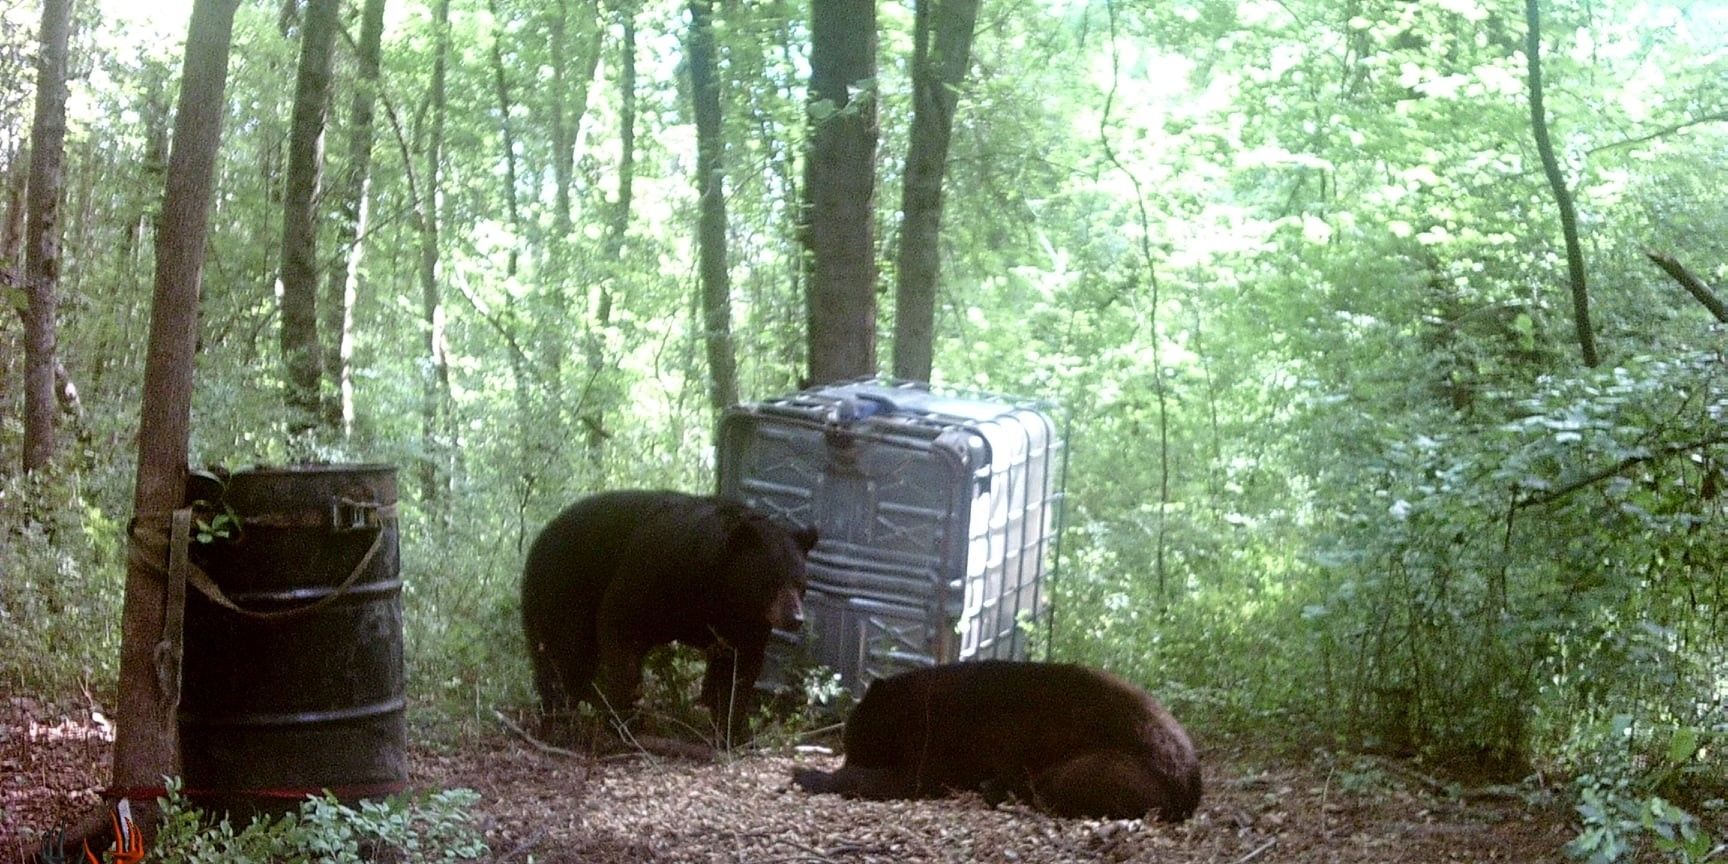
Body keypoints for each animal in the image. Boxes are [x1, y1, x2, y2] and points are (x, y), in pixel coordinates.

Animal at [520, 490, 817, 745]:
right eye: (772, 582)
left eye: (800, 583)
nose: (795, 618)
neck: (721, 587)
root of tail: (538, 541)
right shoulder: (659, 569)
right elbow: (621, 626)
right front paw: (625, 719)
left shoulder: (746, 621)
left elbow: (739, 667)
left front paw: (733, 731)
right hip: (563, 589)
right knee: (564, 654)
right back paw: (558, 715)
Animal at [792, 660, 1201, 821]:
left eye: (856, 747)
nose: (847, 757)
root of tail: (1192, 783)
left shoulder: (940, 742)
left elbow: (909, 778)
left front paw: (808, 774)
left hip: (1120, 764)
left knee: (1066, 783)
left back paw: (999, 788)